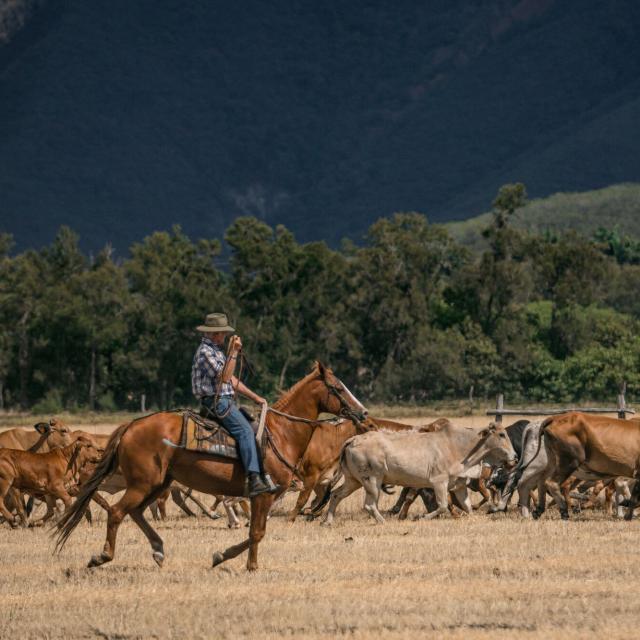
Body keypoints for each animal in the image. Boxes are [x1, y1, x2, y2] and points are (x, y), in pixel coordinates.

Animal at [57, 362, 368, 572]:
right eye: (338, 388)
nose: (363, 412)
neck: (281, 432)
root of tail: (131, 426)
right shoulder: (264, 494)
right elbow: (257, 532)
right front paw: (246, 564)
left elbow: (254, 532)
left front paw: (226, 556)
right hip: (144, 484)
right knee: (117, 512)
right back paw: (102, 556)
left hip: (158, 483)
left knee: (135, 512)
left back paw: (158, 550)